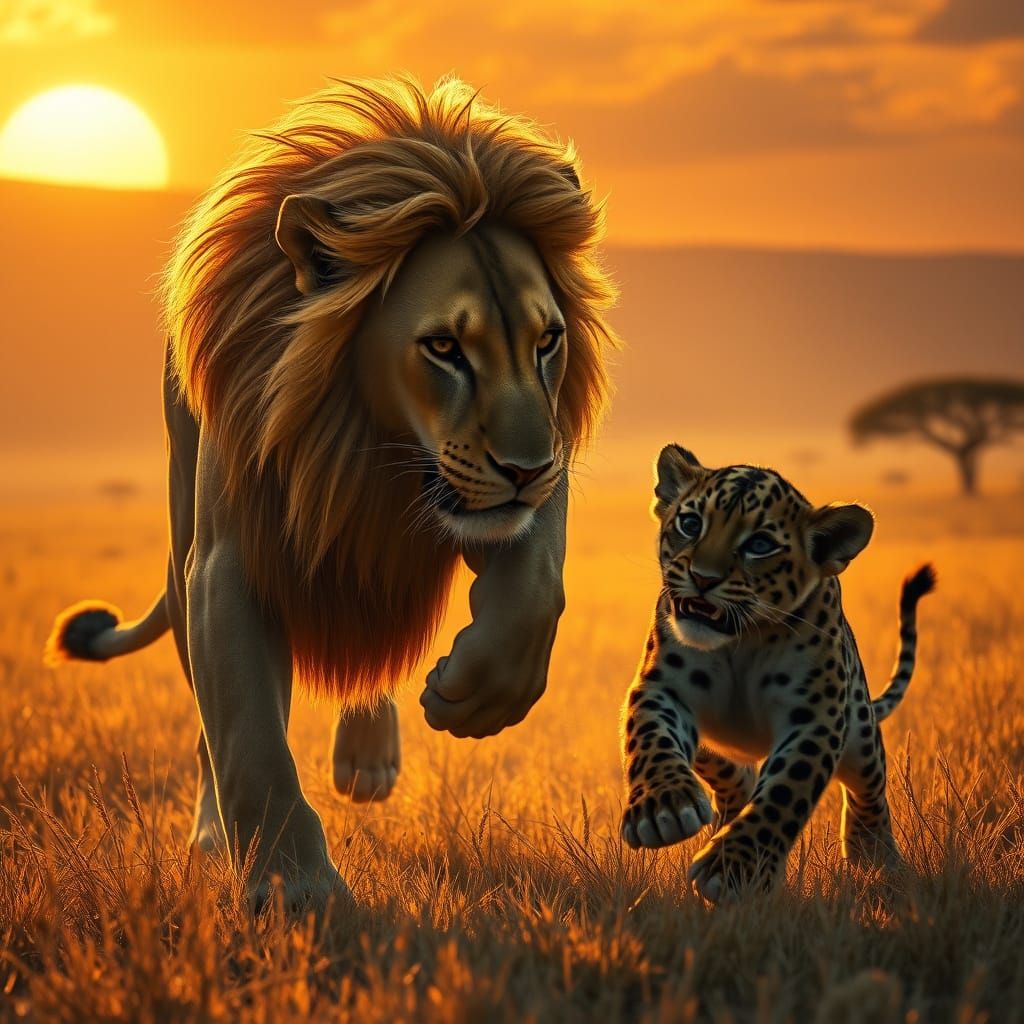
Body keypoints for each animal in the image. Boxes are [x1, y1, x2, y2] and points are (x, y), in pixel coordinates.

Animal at [45, 76, 617, 910]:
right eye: (443, 347)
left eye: (548, 341)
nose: (529, 467)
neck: (370, 444)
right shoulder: (226, 560)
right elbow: (248, 734)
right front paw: (294, 887)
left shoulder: (517, 499)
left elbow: (533, 592)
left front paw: (470, 696)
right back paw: (218, 836)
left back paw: (369, 755)